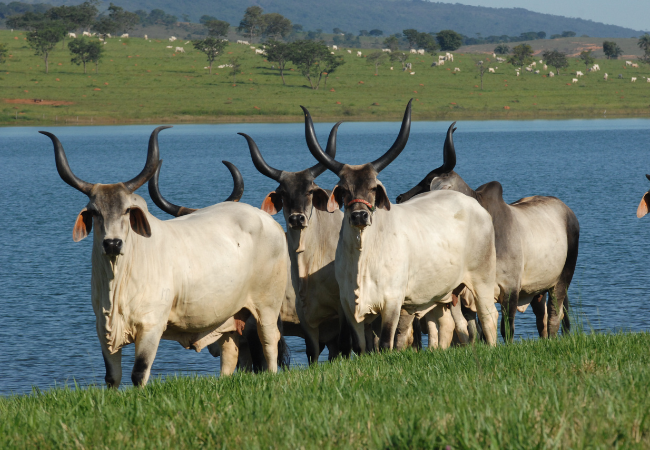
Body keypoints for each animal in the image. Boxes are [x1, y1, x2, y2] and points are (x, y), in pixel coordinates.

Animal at [42, 126, 286, 386]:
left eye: (127, 211)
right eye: (95, 212)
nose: (112, 243)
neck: (118, 279)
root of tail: (267, 219)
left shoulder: (151, 326)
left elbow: (139, 372)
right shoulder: (103, 329)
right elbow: (112, 377)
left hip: (267, 306)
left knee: (269, 341)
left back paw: (273, 376)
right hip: (229, 318)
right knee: (230, 354)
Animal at [394, 123, 576, 342]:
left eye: (427, 181)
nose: (400, 196)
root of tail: (565, 209)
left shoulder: (510, 289)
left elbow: (507, 329)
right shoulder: (466, 294)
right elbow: (473, 331)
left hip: (562, 280)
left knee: (554, 318)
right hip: (537, 292)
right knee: (542, 319)